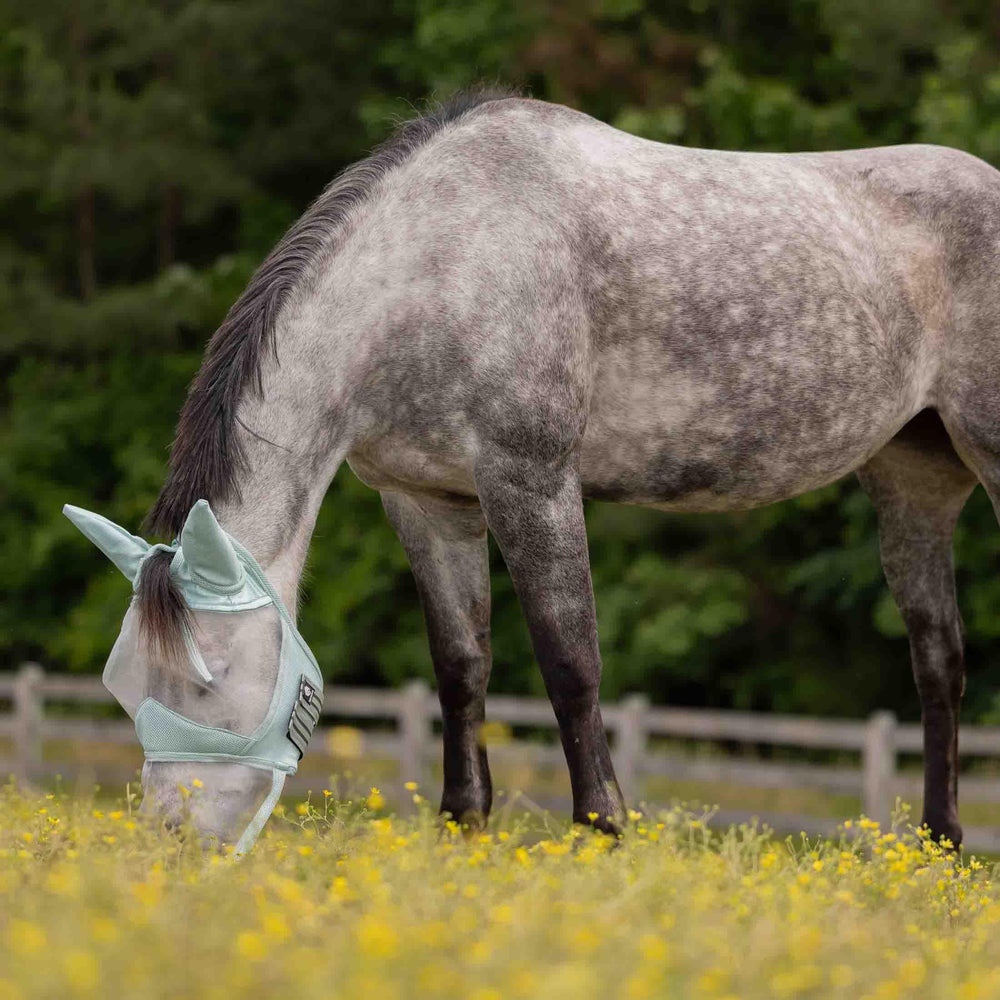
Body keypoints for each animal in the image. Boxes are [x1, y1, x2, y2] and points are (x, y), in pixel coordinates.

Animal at [92, 86, 1000, 848]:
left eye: (207, 682)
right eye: (125, 684)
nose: (171, 841)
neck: (439, 266)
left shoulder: (531, 482)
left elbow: (571, 663)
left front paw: (602, 830)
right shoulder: (427, 501)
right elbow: (461, 668)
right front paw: (464, 824)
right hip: (913, 484)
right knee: (939, 663)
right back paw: (939, 847)